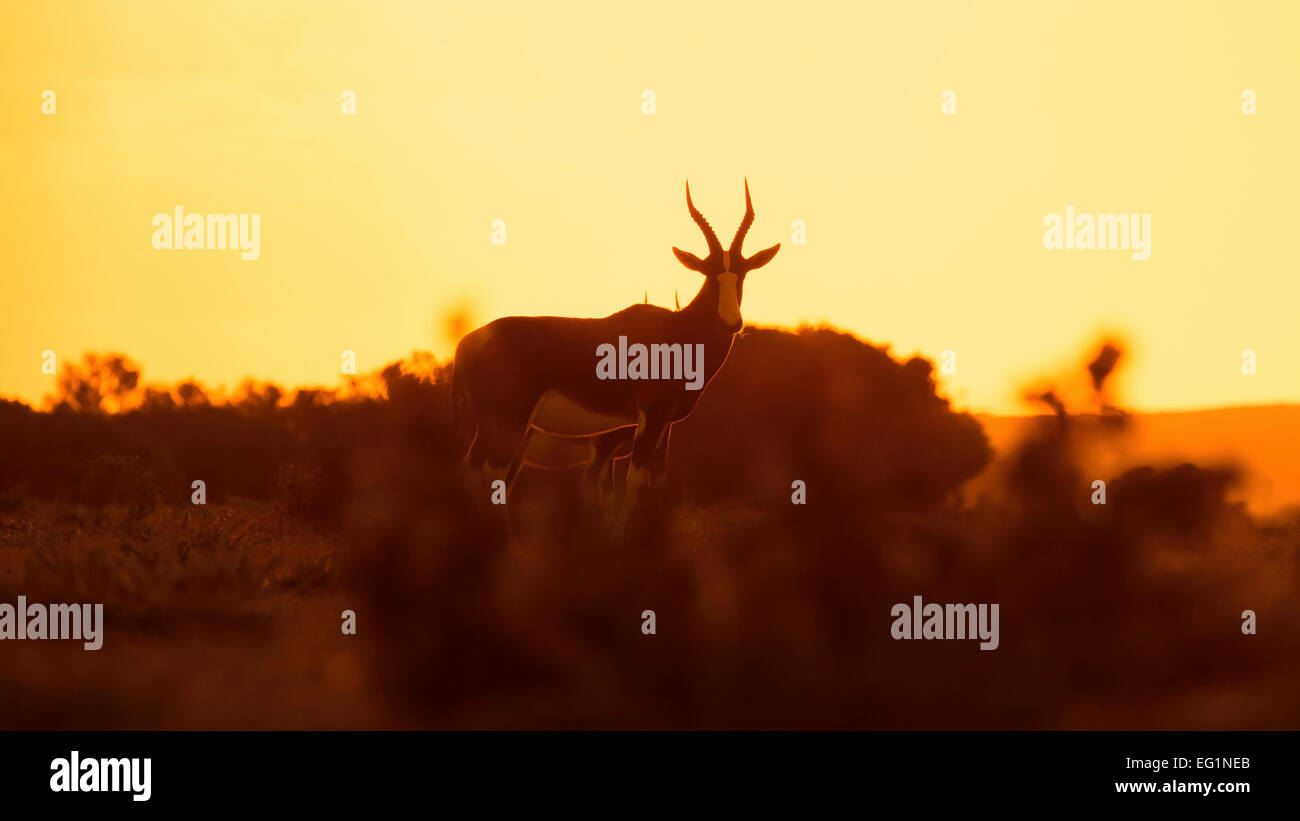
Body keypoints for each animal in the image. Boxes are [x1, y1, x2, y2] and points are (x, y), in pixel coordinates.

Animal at [454, 177, 780, 532]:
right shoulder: (649, 417)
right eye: (709, 274)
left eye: (742, 273)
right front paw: (618, 536)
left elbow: (658, 480)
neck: (675, 328)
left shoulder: (664, 424)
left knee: (474, 468)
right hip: (509, 421)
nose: (731, 322)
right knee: (492, 472)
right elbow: (633, 480)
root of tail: (468, 343)